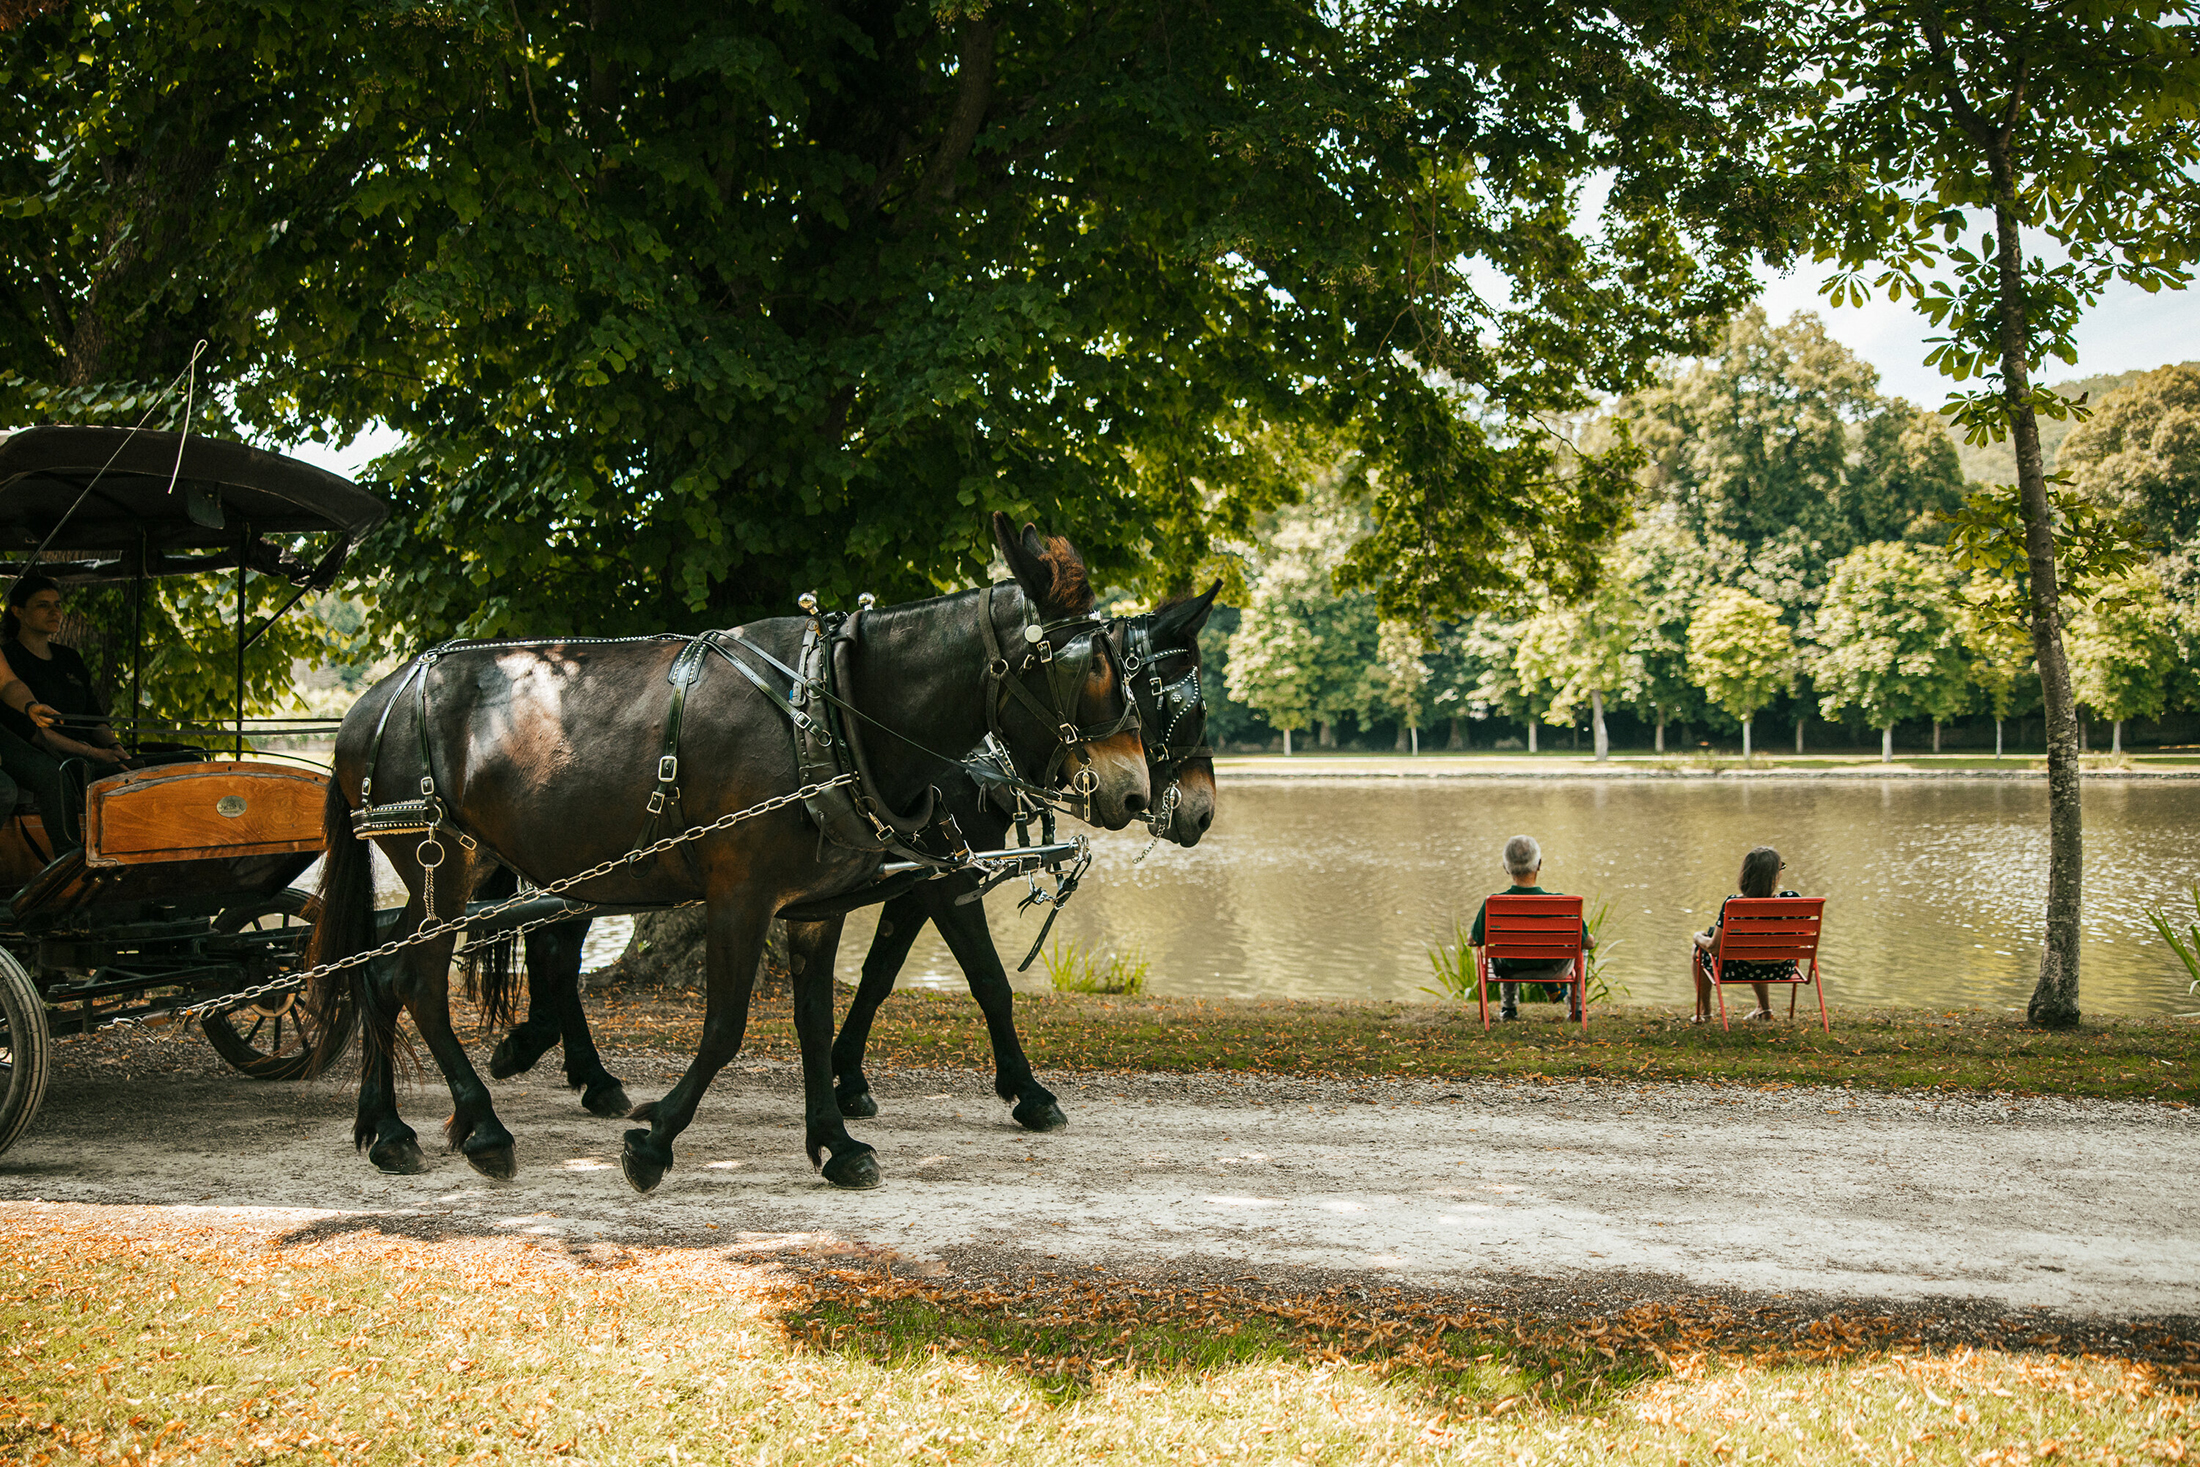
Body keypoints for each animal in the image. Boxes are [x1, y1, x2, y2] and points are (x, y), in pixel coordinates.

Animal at [308, 516, 1152, 1196]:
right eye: (1092, 664)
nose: (1138, 792)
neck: (832, 709)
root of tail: (368, 703)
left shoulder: (815, 906)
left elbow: (815, 1018)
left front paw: (835, 1141)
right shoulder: (744, 895)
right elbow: (725, 1027)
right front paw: (653, 1142)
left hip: (474, 868)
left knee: (379, 972)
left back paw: (388, 1129)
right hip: (442, 864)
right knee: (419, 979)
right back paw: (483, 1126)